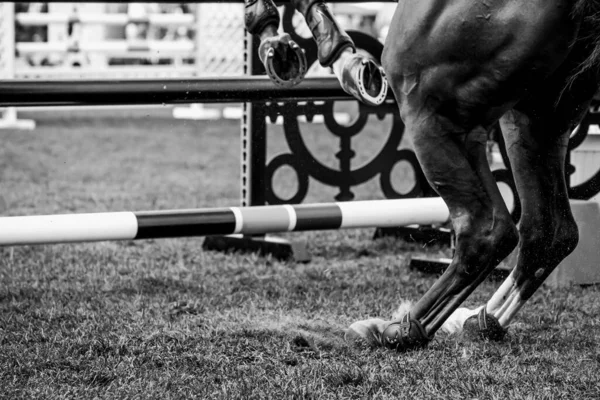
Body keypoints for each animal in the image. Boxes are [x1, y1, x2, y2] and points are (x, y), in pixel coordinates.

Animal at [346, 0, 600, 350]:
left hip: (434, 106)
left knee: (488, 232)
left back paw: (406, 328)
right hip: (537, 116)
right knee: (549, 231)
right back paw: (485, 319)